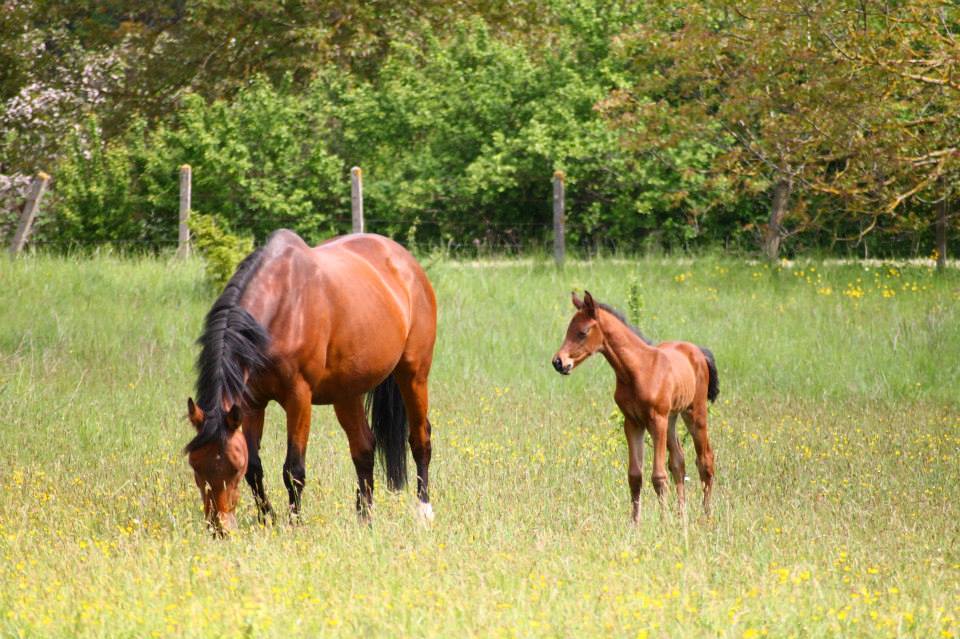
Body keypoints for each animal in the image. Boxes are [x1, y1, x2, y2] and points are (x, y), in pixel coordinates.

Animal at [552, 292, 716, 524]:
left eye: (582, 332)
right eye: (568, 330)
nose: (558, 362)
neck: (638, 369)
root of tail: (698, 351)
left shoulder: (656, 420)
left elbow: (658, 476)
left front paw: (663, 522)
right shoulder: (632, 423)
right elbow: (635, 476)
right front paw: (635, 523)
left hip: (694, 413)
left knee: (705, 460)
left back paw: (706, 516)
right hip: (672, 418)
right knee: (678, 461)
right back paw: (681, 516)